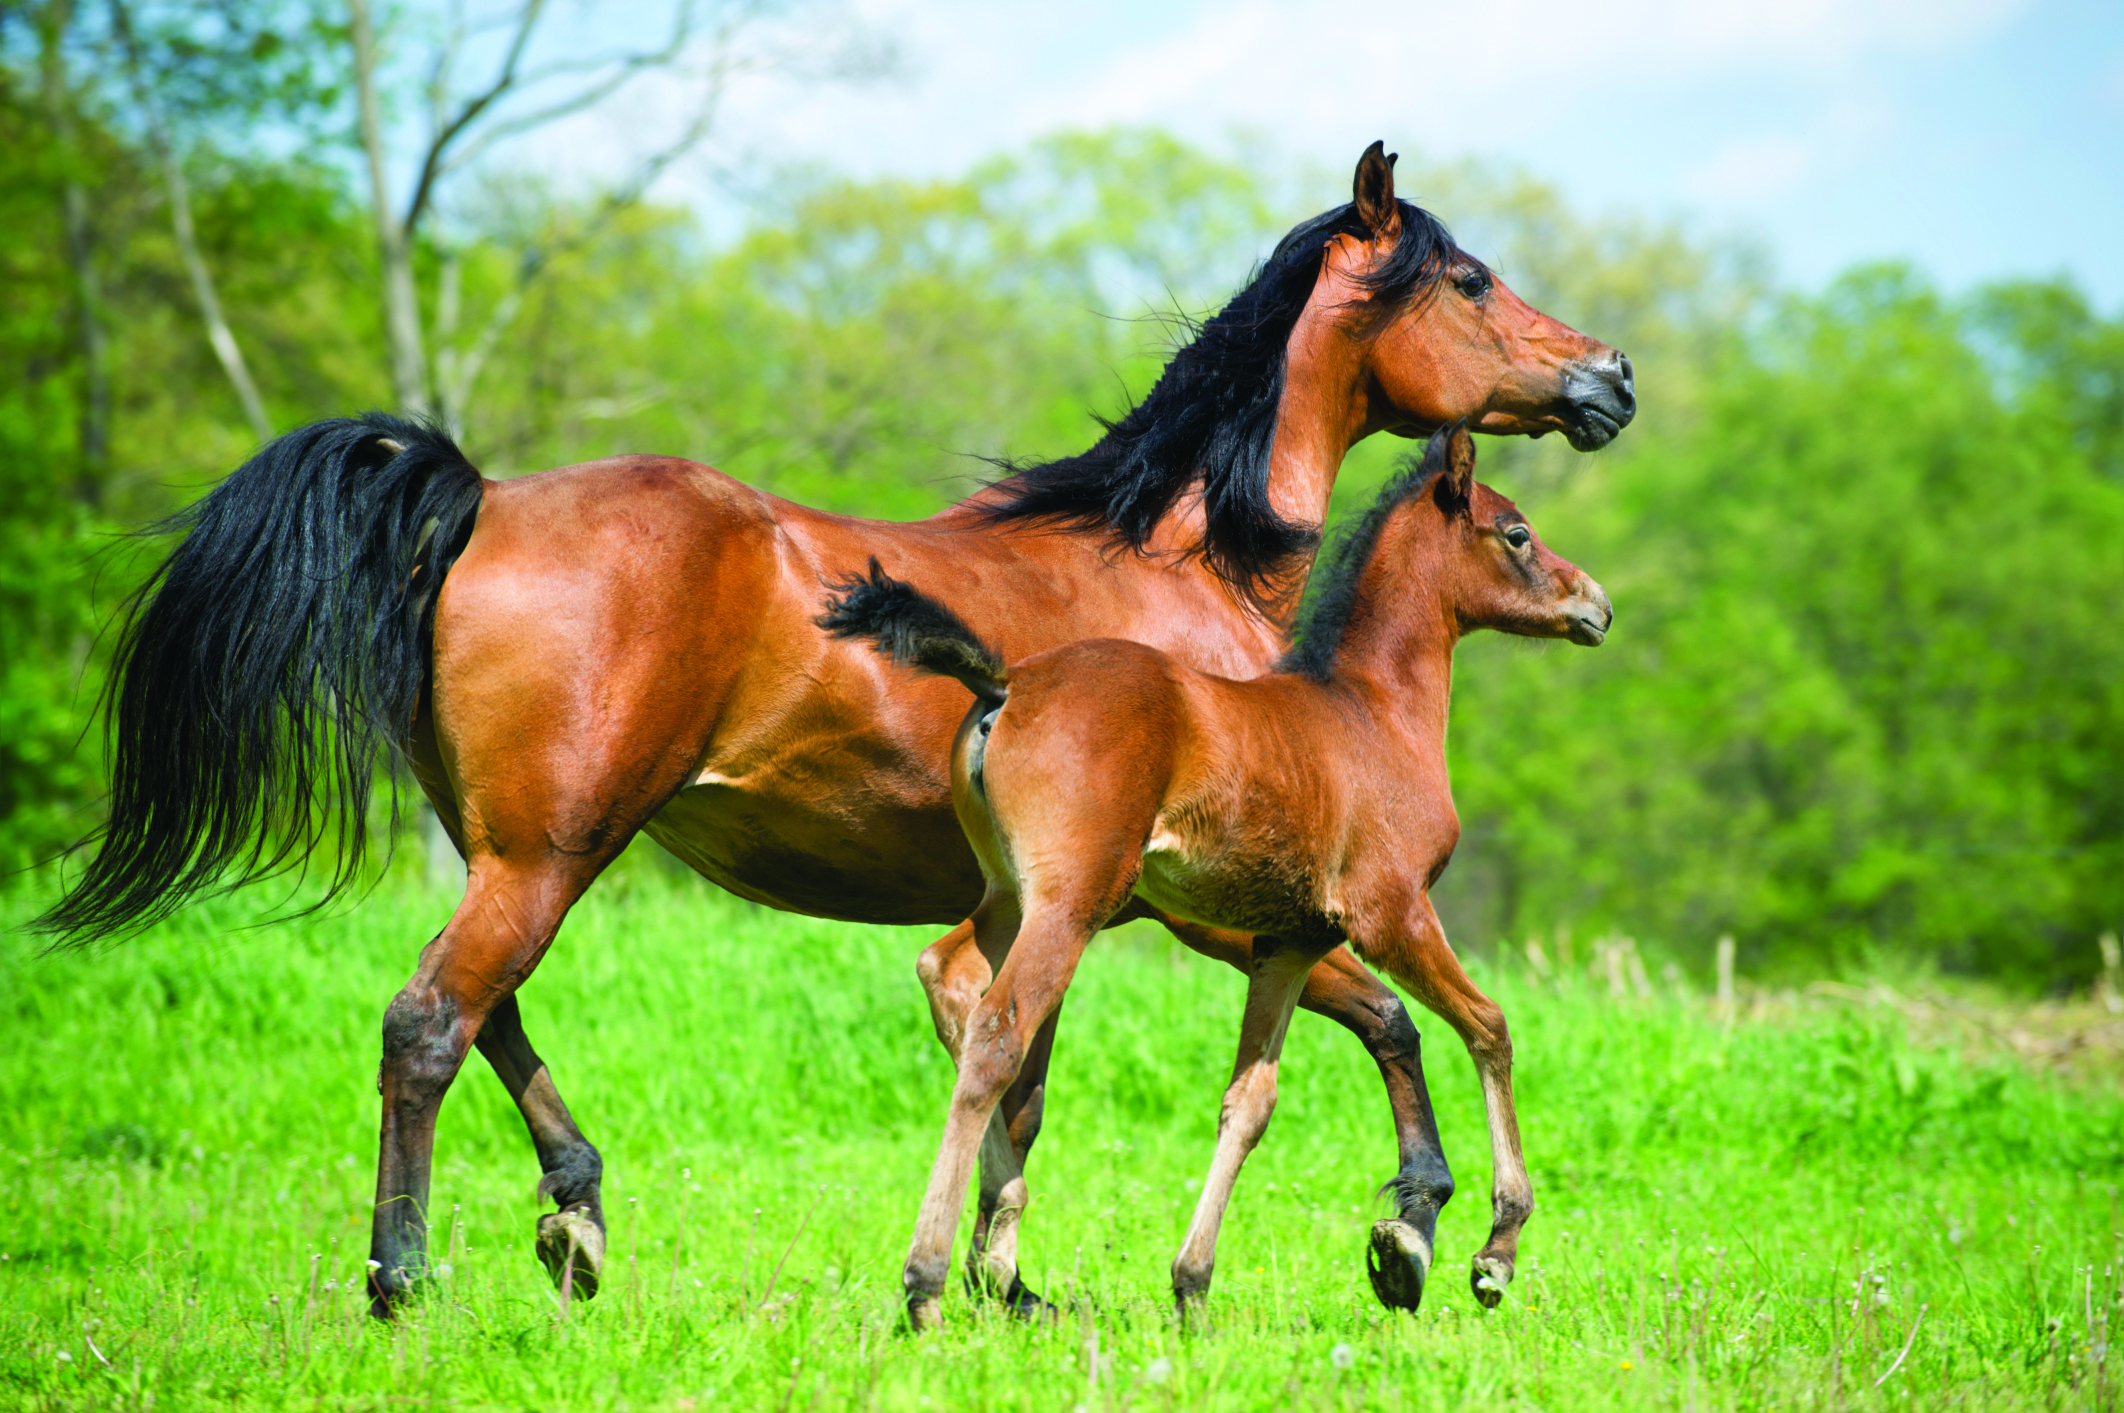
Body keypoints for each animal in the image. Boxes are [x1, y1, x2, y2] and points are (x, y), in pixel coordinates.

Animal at [824, 420, 1605, 1325]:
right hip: (1071, 902)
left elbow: (1250, 1101)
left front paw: (1193, 1284)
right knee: (997, 1033)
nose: (1595, 604)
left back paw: (991, 1253)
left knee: (947, 975)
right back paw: (926, 1283)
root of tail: (1004, 681)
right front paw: (1495, 1249)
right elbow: (1490, 1025)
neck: (1372, 712)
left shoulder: (1290, 941)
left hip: (1009, 894)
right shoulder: (1391, 913)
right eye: (1516, 534)